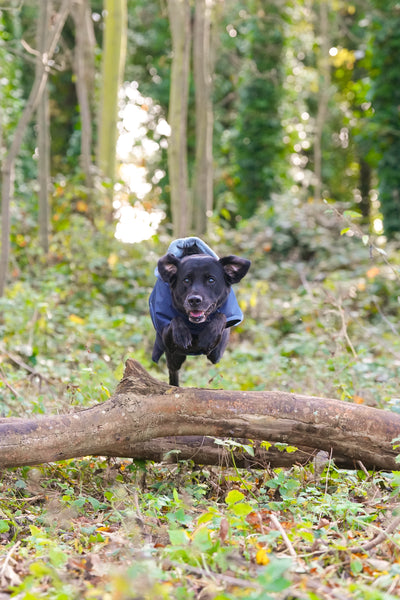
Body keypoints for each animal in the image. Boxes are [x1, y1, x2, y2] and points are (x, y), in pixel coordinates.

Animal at [151, 251, 250, 386]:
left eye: (211, 280)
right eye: (186, 280)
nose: (194, 300)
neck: (196, 326)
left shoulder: (216, 353)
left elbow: (221, 316)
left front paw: (209, 335)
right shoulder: (168, 342)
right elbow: (174, 320)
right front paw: (182, 334)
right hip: (173, 359)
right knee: (173, 372)